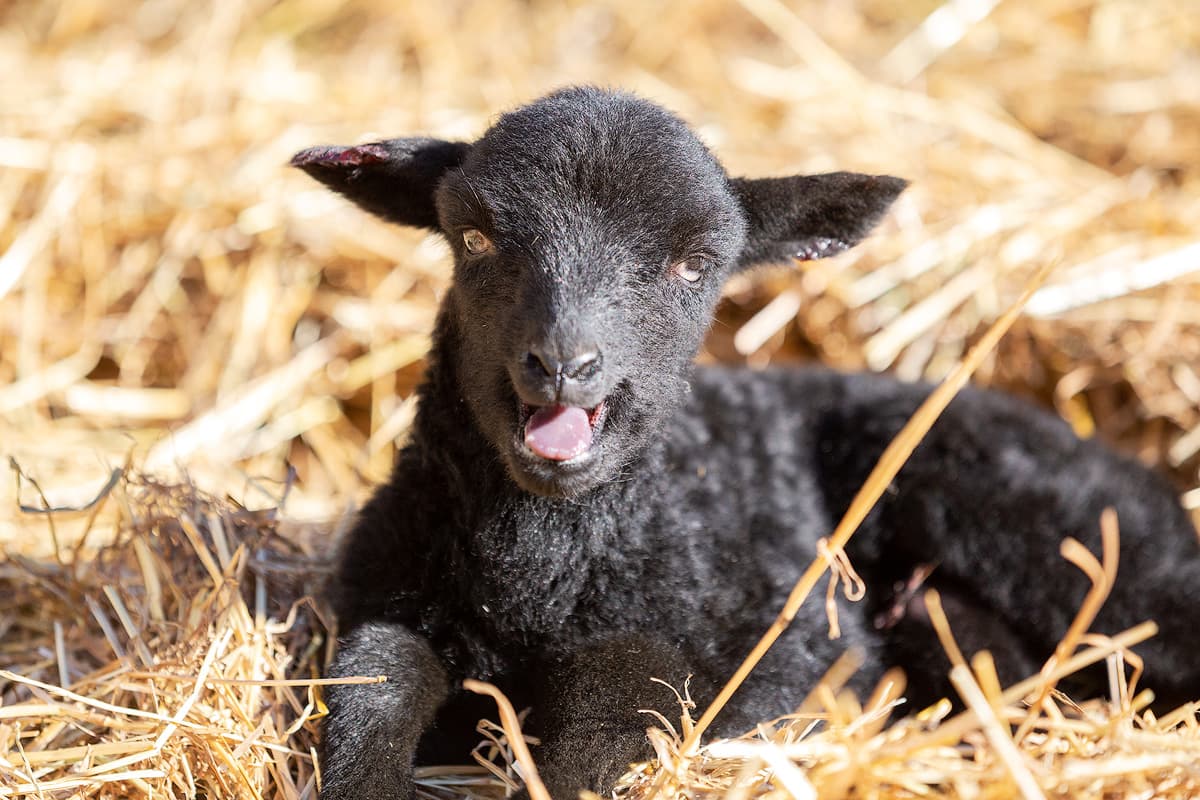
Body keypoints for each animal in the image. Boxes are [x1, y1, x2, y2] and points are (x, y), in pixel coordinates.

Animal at [292, 87, 1200, 800]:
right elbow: (372, 682)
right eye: (474, 239)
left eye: (696, 264)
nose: (563, 365)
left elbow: (620, 700)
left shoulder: (716, 646)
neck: (540, 571)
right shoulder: (387, 595)